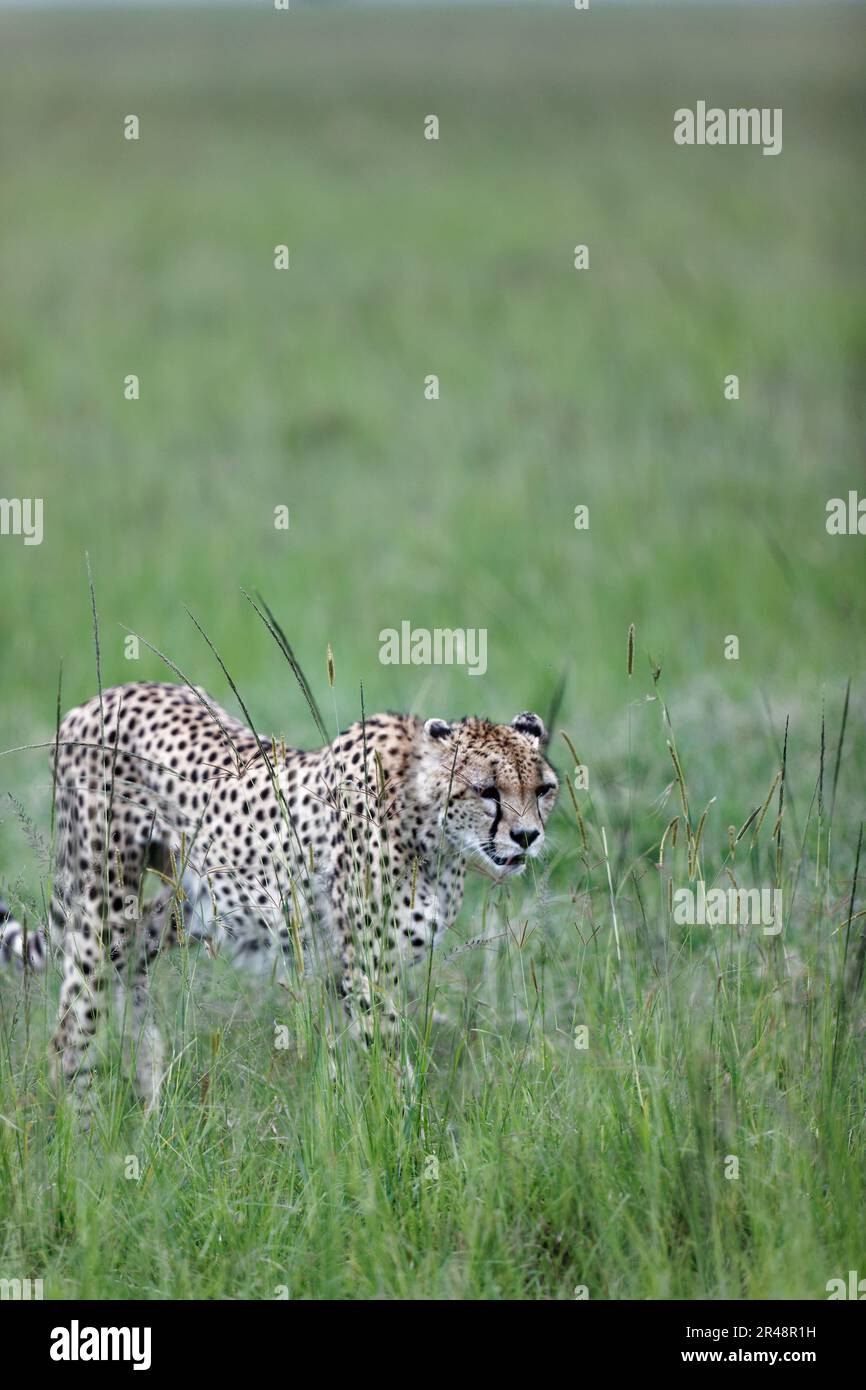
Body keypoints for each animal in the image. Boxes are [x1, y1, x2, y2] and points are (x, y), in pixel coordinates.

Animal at [0, 681, 558, 1110]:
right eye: (487, 791)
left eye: (544, 789)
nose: (527, 836)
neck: (430, 829)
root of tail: (95, 700)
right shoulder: (365, 971)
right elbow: (388, 1059)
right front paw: (407, 1133)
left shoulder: (343, 968)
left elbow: (339, 1059)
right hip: (105, 906)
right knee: (72, 1026)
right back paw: (85, 1134)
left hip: (186, 904)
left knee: (131, 973)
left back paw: (149, 1105)